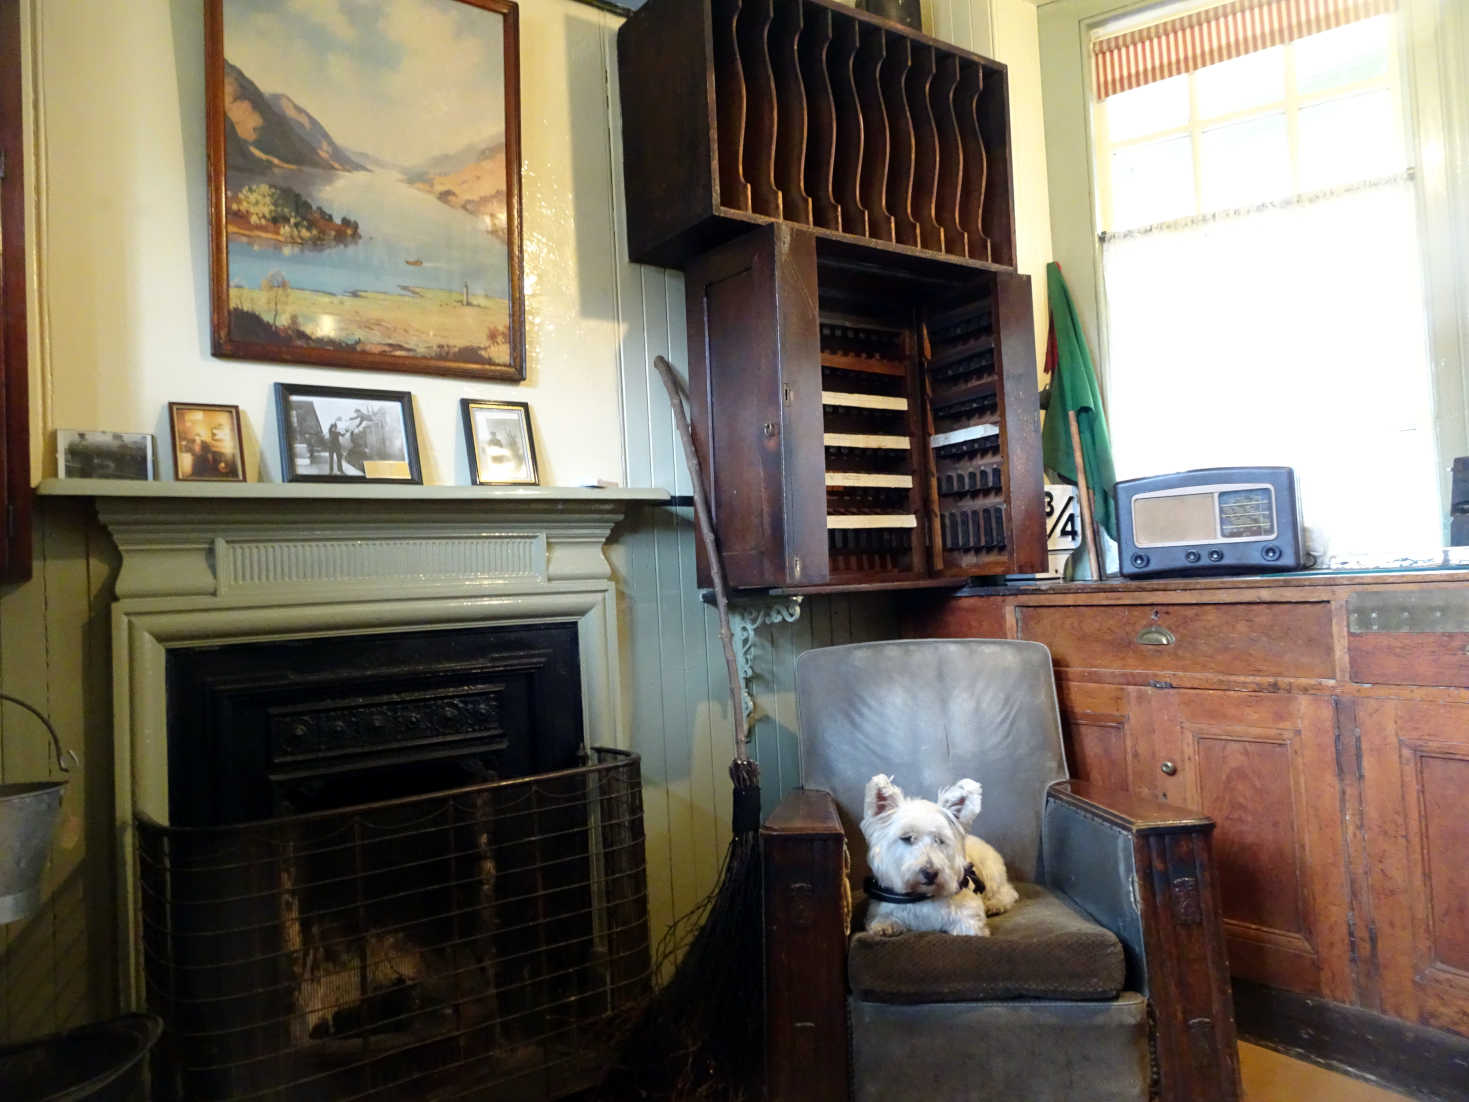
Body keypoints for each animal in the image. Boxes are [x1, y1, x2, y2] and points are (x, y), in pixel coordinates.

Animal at [857, 769, 1022, 934]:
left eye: (939, 840)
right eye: (907, 838)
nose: (930, 873)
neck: (923, 896)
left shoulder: (968, 913)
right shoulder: (881, 908)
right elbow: (883, 917)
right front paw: (884, 925)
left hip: (991, 873)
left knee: (1008, 892)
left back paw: (994, 905)